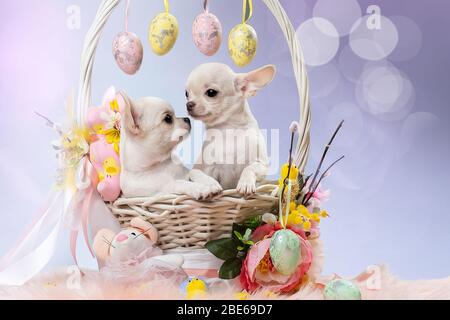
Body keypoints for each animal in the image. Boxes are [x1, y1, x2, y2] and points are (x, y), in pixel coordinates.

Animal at [185, 62, 276, 192]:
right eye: (186, 94)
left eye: (211, 92)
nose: (188, 104)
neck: (228, 131)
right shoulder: (203, 168)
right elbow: (197, 173)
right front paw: (210, 184)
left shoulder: (262, 164)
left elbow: (249, 168)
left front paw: (245, 183)